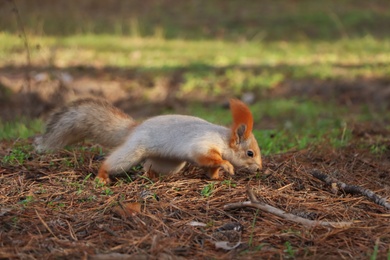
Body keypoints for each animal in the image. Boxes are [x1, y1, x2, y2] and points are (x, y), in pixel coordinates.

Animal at [35, 98, 262, 183]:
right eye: (249, 153)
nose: (259, 169)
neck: (222, 139)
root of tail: (135, 128)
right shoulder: (203, 143)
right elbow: (209, 157)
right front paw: (227, 165)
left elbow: (210, 167)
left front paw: (216, 177)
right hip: (132, 151)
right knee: (114, 162)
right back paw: (102, 176)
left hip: (170, 163)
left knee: (148, 167)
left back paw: (152, 176)